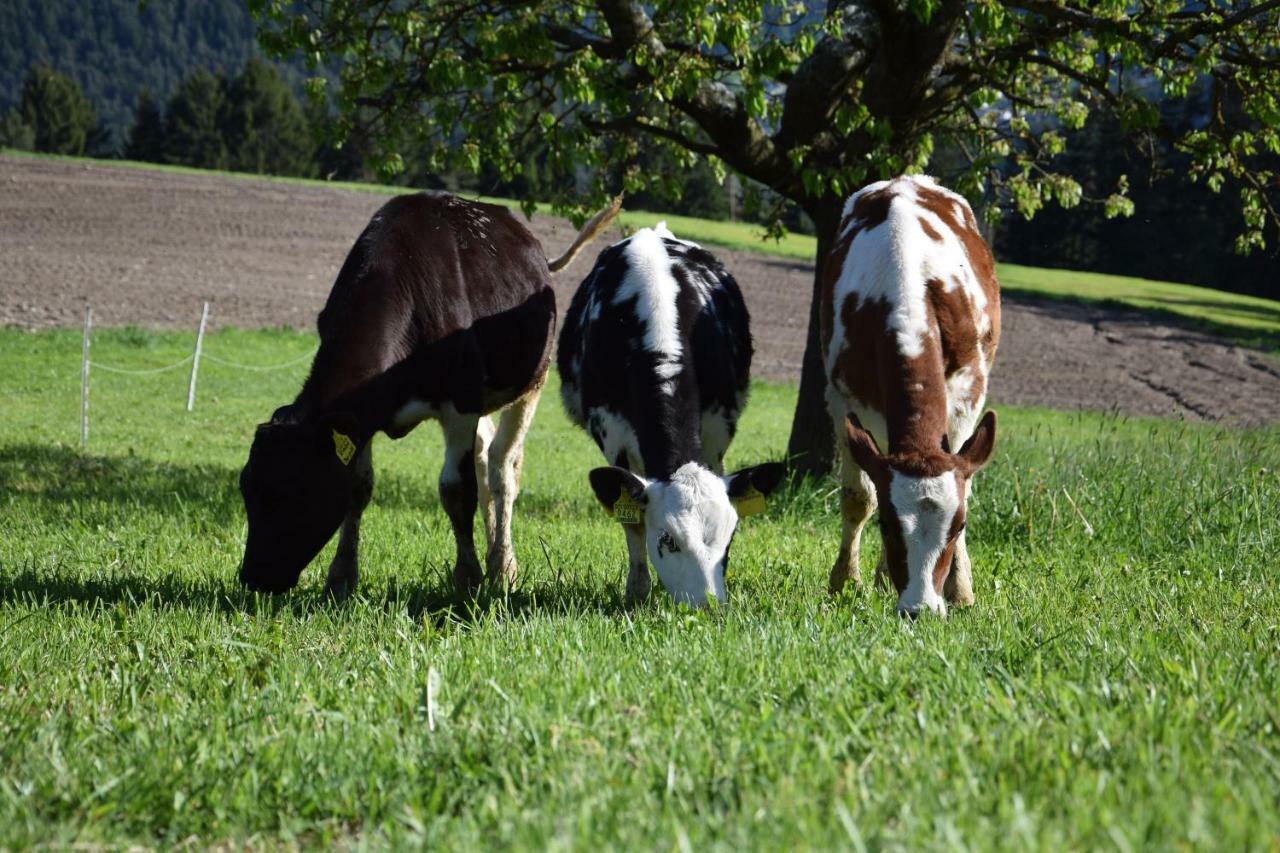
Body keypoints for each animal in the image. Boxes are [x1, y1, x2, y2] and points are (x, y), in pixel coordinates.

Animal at [241, 189, 622, 594]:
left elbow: (456, 489)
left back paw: (503, 566)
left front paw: (467, 577)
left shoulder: (461, 405)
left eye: (297, 494)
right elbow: (358, 487)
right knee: (484, 459)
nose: (253, 577)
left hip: (531, 384)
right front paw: (342, 576)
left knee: (502, 469)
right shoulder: (362, 415)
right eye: (246, 487)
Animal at [563, 222, 788, 601]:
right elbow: (633, 521)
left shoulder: (716, 427)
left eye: (730, 538)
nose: (709, 604)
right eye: (667, 539)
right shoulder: (611, 431)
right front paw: (637, 591)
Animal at [819, 172, 998, 614]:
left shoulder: (968, 393)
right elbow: (858, 496)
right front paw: (845, 582)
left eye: (959, 525)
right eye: (887, 523)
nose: (920, 609)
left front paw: (960, 590)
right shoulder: (843, 398)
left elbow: (965, 476)